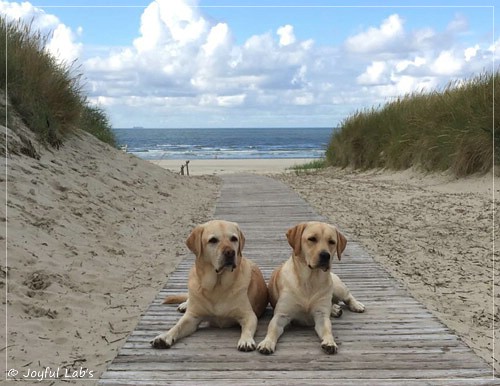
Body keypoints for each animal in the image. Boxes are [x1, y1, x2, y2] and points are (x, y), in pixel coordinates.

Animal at [151, 219, 270, 352]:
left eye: (234, 239)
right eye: (213, 240)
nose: (230, 252)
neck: (217, 285)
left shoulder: (248, 315)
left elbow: (247, 329)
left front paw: (246, 340)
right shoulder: (192, 318)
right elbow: (177, 326)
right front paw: (164, 337)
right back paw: (185, 305)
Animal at [256, 220, 366, 356]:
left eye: (332, 242)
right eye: (312, 239)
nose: (325, 255)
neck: (310, 280)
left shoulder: (321, 316)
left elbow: (328, 330)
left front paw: (330, 342)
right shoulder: (281, 315)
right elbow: (271, 329)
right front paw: (267, 343)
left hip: (337, 287)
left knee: (348, 296)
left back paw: (356, 305)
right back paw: (335, 309)